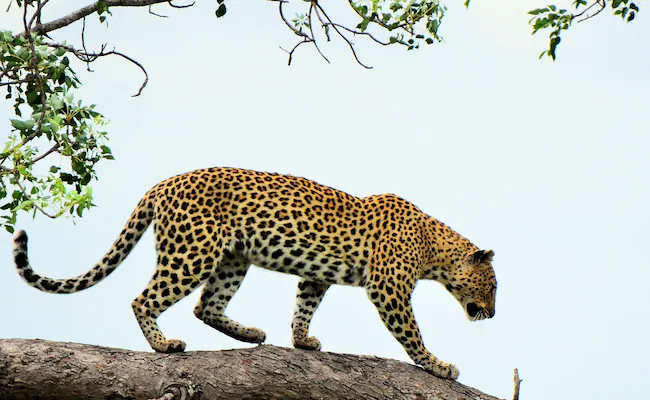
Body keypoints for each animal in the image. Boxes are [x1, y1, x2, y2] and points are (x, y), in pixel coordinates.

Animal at [12, 167, 497, 380]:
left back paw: (250, 334)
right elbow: (411, 333)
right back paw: (164, 346)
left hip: (232, 259)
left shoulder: (317, 275)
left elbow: (305, 304)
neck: (435, 249)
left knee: (207, 305)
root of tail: (162, 183)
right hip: (193, 253)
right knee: (144, 299)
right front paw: (438, 365)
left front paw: (302, 341)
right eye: (492, 286)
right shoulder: (389, 287)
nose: (492, 314)